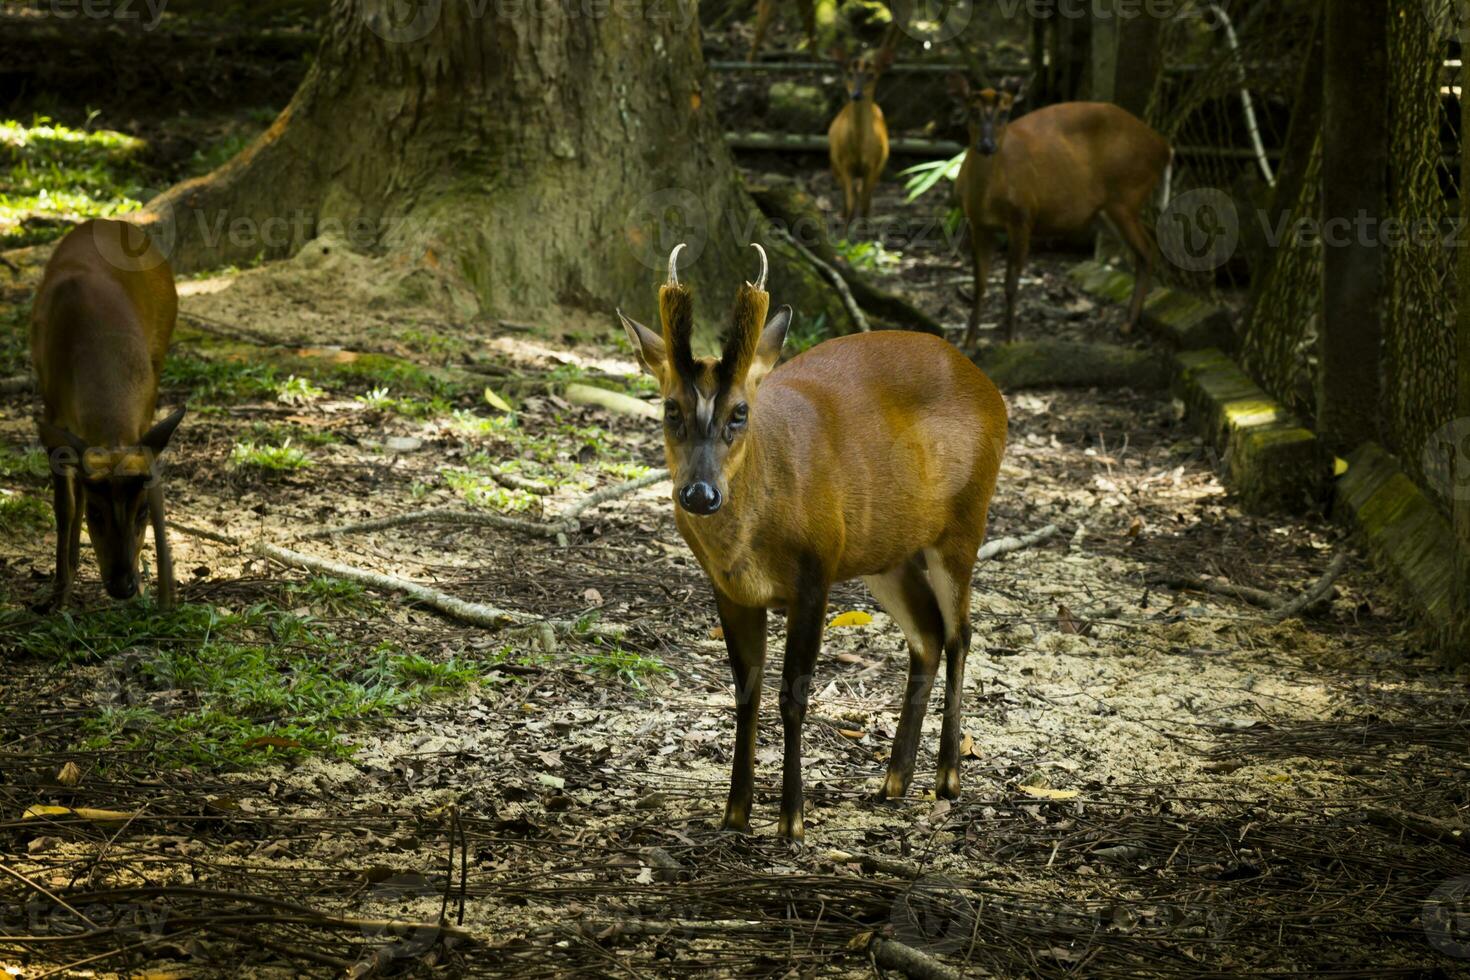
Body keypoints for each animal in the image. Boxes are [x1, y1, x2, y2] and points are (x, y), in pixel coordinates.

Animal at [31, 218, 185, 608]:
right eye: (97, 515)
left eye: (142, 512)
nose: (123, 585)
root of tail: (110, 221)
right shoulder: (52, 416)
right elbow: (66, 507)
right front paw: (59, 594)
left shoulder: (144, 417)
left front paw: (163, 596)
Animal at [614, 245, 1005, 846]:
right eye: (670, 409)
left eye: (739, 412)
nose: (699, 494)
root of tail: (991, 388)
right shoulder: (730, 589)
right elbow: (746, 692)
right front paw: (735, 814)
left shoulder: (814, 573)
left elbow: (792, 695)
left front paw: (791, 821)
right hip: (883, 553)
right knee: (927, 633)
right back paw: (894, 780)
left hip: (963, 523)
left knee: (960, 632)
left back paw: (947, 778)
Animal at [829, 44, 893, 235]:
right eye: (849, 73)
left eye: (871, 75)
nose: (856, 95)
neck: (858, 147)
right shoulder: (844, 164)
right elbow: (851, 200)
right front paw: (844, 233)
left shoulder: (873, 164)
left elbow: (865, 202)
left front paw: (864, 231)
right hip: (834, 163)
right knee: (847, 192)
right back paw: (842, 215)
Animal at [946, 80, 1176, 348]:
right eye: (973, 110)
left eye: (1004, 112)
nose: (987, 145)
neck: (987, 198)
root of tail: (1164, 148)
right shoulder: (978, 223)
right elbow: (979, 284)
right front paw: (969, 343)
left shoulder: (1023, 216)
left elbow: (1010, 284)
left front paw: (1010, 341)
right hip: (1106, 211)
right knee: (1147, 245)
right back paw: (1130, 322)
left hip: (1126, 195)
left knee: (1148, 248)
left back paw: (1128, 324)